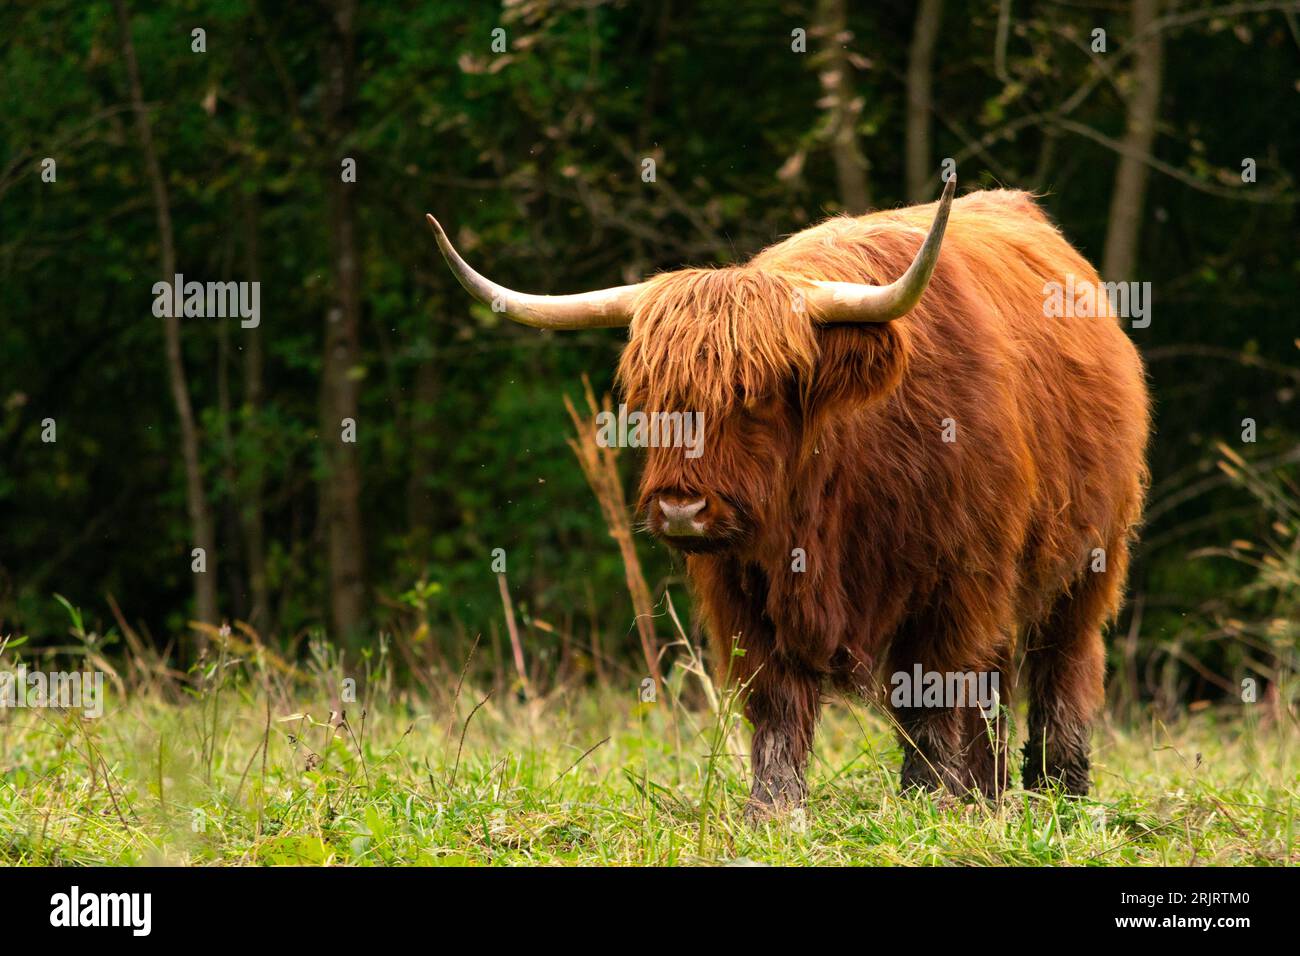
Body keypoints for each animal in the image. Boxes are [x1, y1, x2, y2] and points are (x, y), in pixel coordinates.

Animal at [426, 179, 1149, 822]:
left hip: (1090, 562)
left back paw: (1058, 794)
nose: (681, 510)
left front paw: (928, 802)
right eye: (651, 399)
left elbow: (933, 692)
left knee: (1063, 666)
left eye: (756, 397)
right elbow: (775, 700)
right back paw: (990, 795)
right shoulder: (744, 589)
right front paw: (773, 810)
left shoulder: (958, 580)